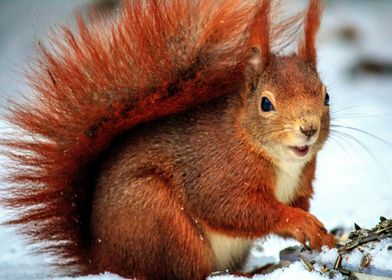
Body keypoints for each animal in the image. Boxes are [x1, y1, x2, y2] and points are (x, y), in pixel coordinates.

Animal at [1, 0, 336, 278]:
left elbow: (295, 204)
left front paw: (323, 235)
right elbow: (233, 209)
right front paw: (300, 221)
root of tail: (102, 259)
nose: (309, 128)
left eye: (326, 97)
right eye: (266, 103)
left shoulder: (301, 181)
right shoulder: (218, 172)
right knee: (184, 271)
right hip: (161, 221)